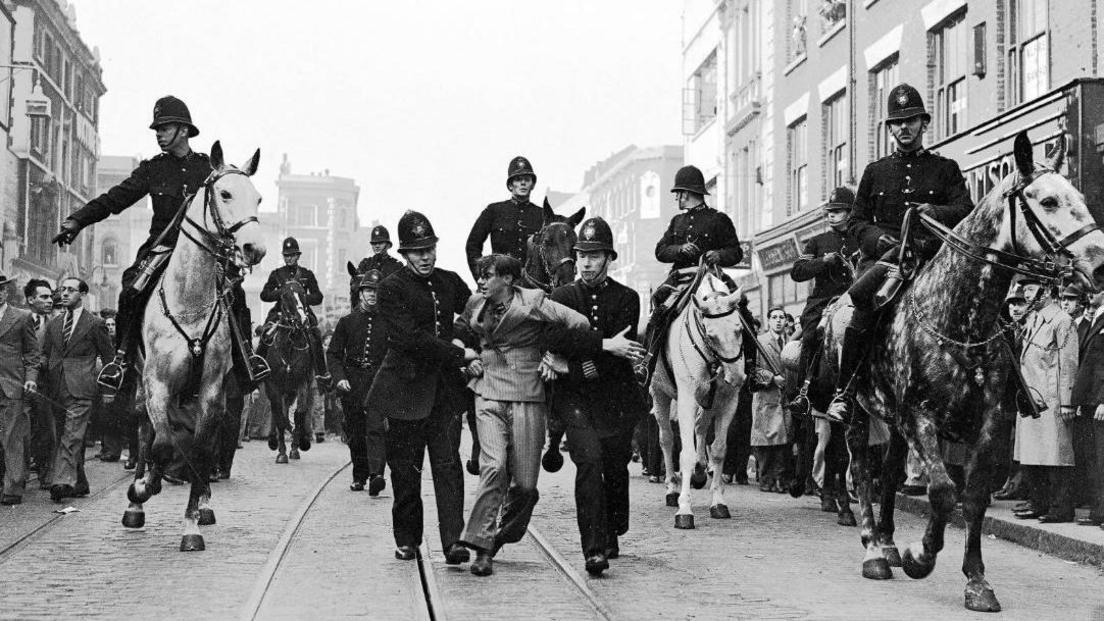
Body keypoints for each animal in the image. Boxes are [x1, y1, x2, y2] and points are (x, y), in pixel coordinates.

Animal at [121, 142, 266, 548]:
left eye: (258, 198)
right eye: (225, 193)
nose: (254, 248)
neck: (189, 302)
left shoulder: (212, 390)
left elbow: (201, 451)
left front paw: (191, 522)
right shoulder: (157, 383)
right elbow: (161, 444)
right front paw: (144, 488)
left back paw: (201, 503)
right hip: (141, 384)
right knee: (144, 431)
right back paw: (137, 499)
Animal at [649, 268, 746, 523]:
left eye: (740, 329)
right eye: (711, 336)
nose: (737, 377)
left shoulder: (728, 400)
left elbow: (719, 449)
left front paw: (718, 501)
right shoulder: (686, 399)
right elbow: (685, 453)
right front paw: (684, 509)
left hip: (710, 400)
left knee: (701, 427)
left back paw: (702, 471)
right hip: (659, 394)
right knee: (666, 439)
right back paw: (672, 489)